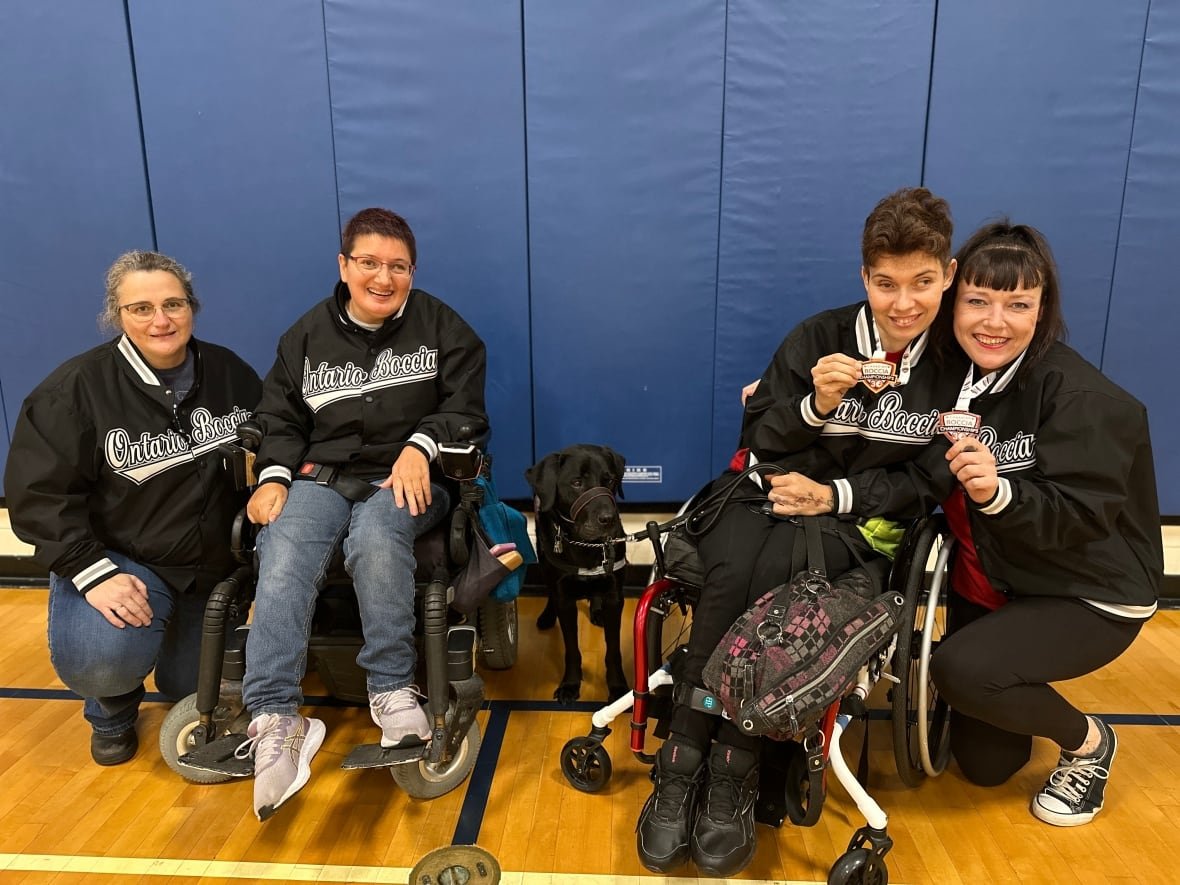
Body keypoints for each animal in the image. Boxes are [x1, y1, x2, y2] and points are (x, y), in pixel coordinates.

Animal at [528, 446, 632, 703]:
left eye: (610, 480)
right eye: (576, 482)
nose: (609, 519)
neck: (585, 546)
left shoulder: (615, 596)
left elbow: (613, 650)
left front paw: (617, 687)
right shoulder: (565, 598)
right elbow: (572, 648)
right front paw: (570, 684)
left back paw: (596, 610)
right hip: (543, 559)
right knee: (550, 591)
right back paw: (548, 615)